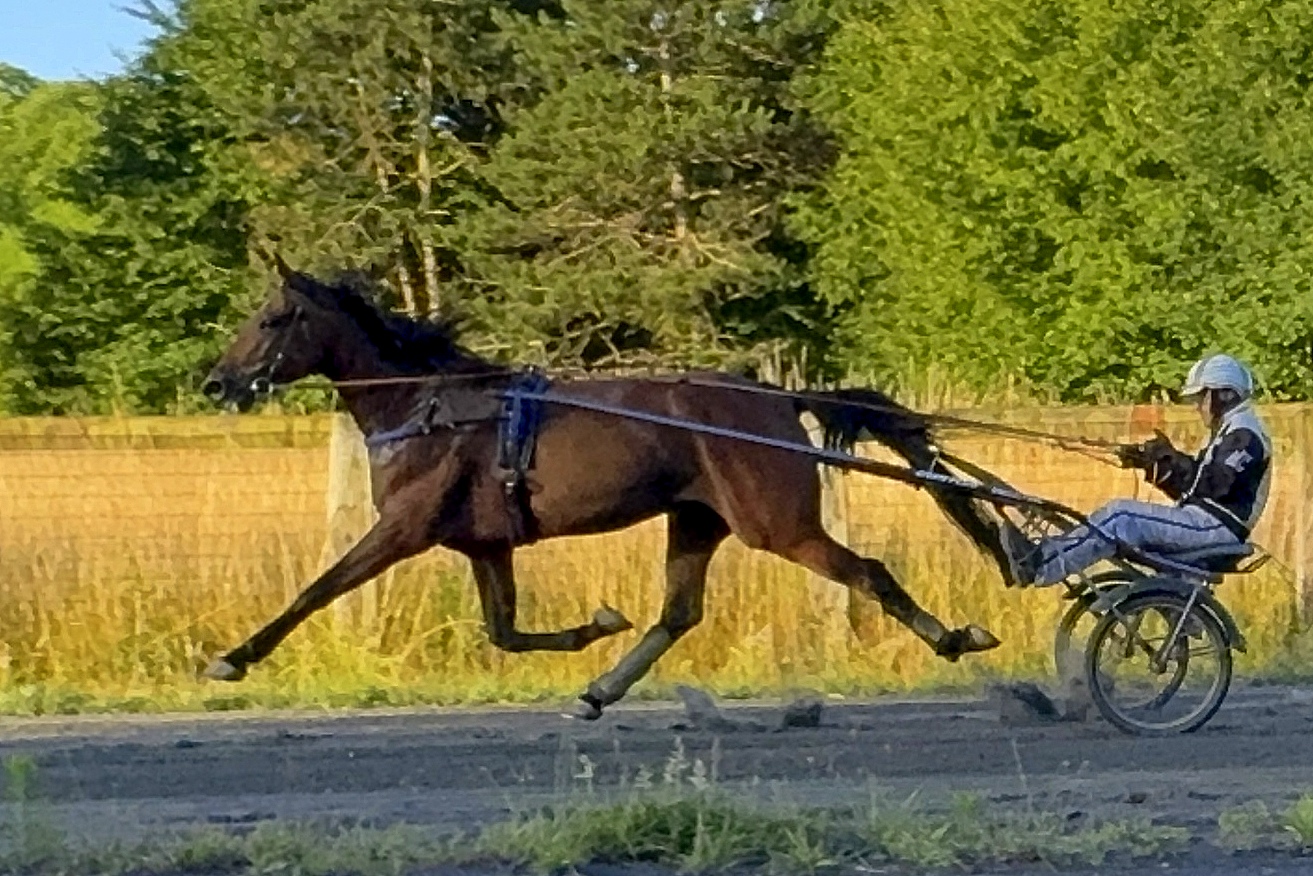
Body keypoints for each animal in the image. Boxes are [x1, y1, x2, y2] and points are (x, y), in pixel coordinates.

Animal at [201, 259, 1014, 719]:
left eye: (274, 317)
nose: (216, 382)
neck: (428, 406)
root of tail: (778, 398)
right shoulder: (485, 543)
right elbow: (504, 631)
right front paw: (595, 625)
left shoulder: (404, 528)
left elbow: (317, 590)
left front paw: (232, 657)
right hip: (696, 519)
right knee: (679, 613)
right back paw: (600, 689)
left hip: (774, 522)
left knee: (867, 571)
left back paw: (954, 637)